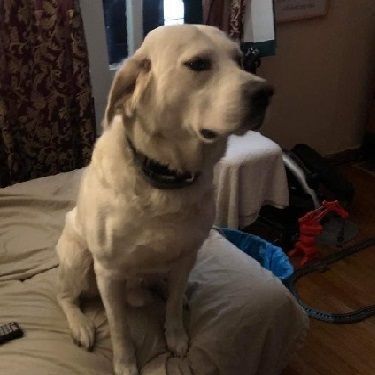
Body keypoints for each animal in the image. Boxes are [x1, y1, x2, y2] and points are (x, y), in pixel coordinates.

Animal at [56, 25, 274, 374]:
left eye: (239, 59)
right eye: (198, 64)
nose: (265, 92)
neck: (166, 179)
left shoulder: (186, 256)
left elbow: (170, 307)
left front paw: (176, 335)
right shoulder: (108, 273)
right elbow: (120, 328)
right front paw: (125, 363)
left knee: (167, 286)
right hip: (77, 257)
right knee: (65, 295)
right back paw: (81, 325)